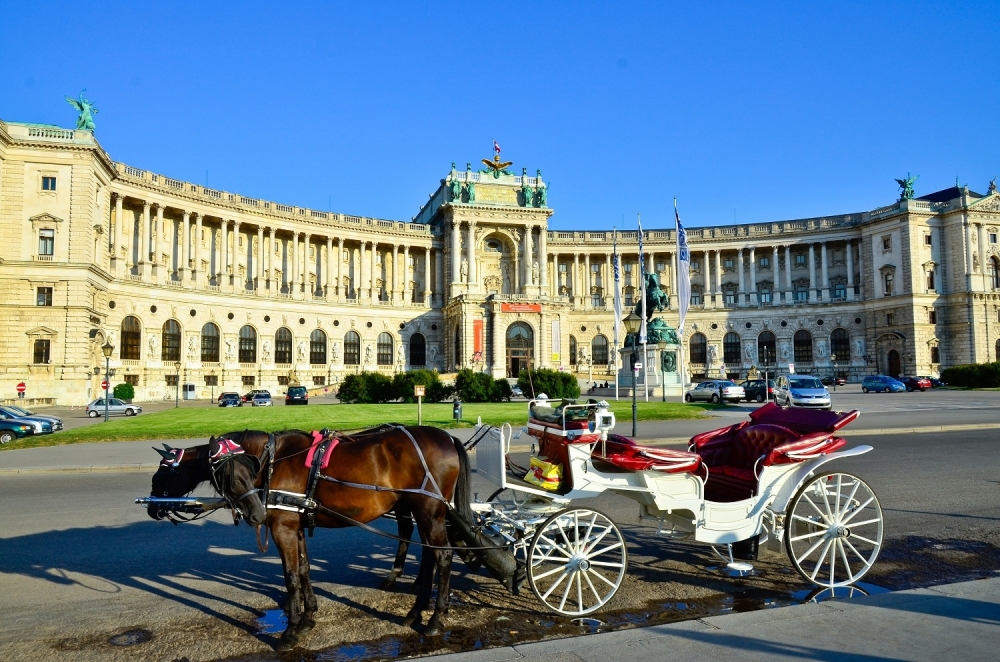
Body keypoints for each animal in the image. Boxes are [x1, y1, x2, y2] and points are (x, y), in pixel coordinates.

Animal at [146, 428, 474, 652]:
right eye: (226, 474)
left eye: (161, 473)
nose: (255, 515)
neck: (273, 462)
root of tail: (447, 437)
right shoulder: (295, 525)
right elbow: (304, 569)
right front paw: (308, 617)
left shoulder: (283, 528)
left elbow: (291, 576)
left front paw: (290, 631)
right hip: (422, 512)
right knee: (430, 556)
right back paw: (416, 612)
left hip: (429, 512)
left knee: (442, 556)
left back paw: (435, 620)